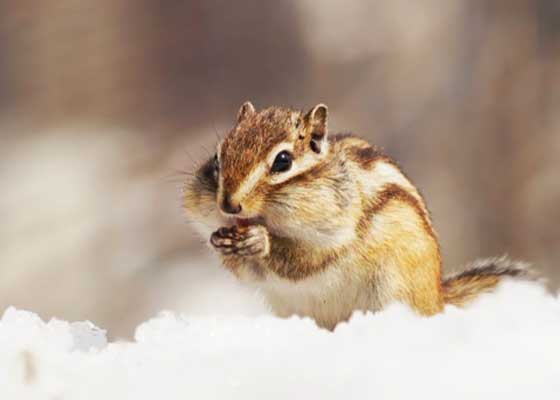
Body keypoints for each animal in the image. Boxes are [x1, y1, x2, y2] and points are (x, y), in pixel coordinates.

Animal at [184, 101, 528, 330]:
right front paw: (219, 240)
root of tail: (437, 298)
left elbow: (303, 261)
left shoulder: (340, 232)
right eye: (217, 157)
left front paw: (259, 240)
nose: (228, 206)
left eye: (283, 161)